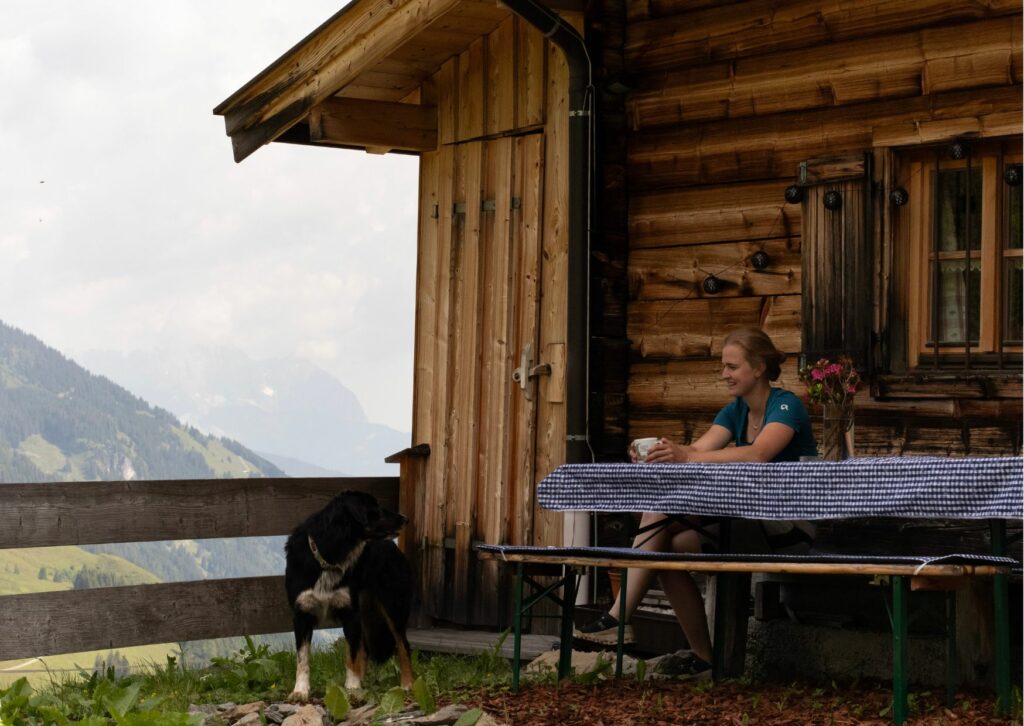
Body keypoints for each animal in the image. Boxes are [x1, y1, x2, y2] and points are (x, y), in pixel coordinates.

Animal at [282, 489, 413, 700]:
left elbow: (351, 656)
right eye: (375, 508)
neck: (329, 557)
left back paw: (407, 684)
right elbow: (302, 657)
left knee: (403, 645)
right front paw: (300, 690)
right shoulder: (302, 614)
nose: (405, 519)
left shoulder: (349, 613)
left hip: (393, 606)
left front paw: (352, 687)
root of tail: (394, 548)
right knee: (365, 649)